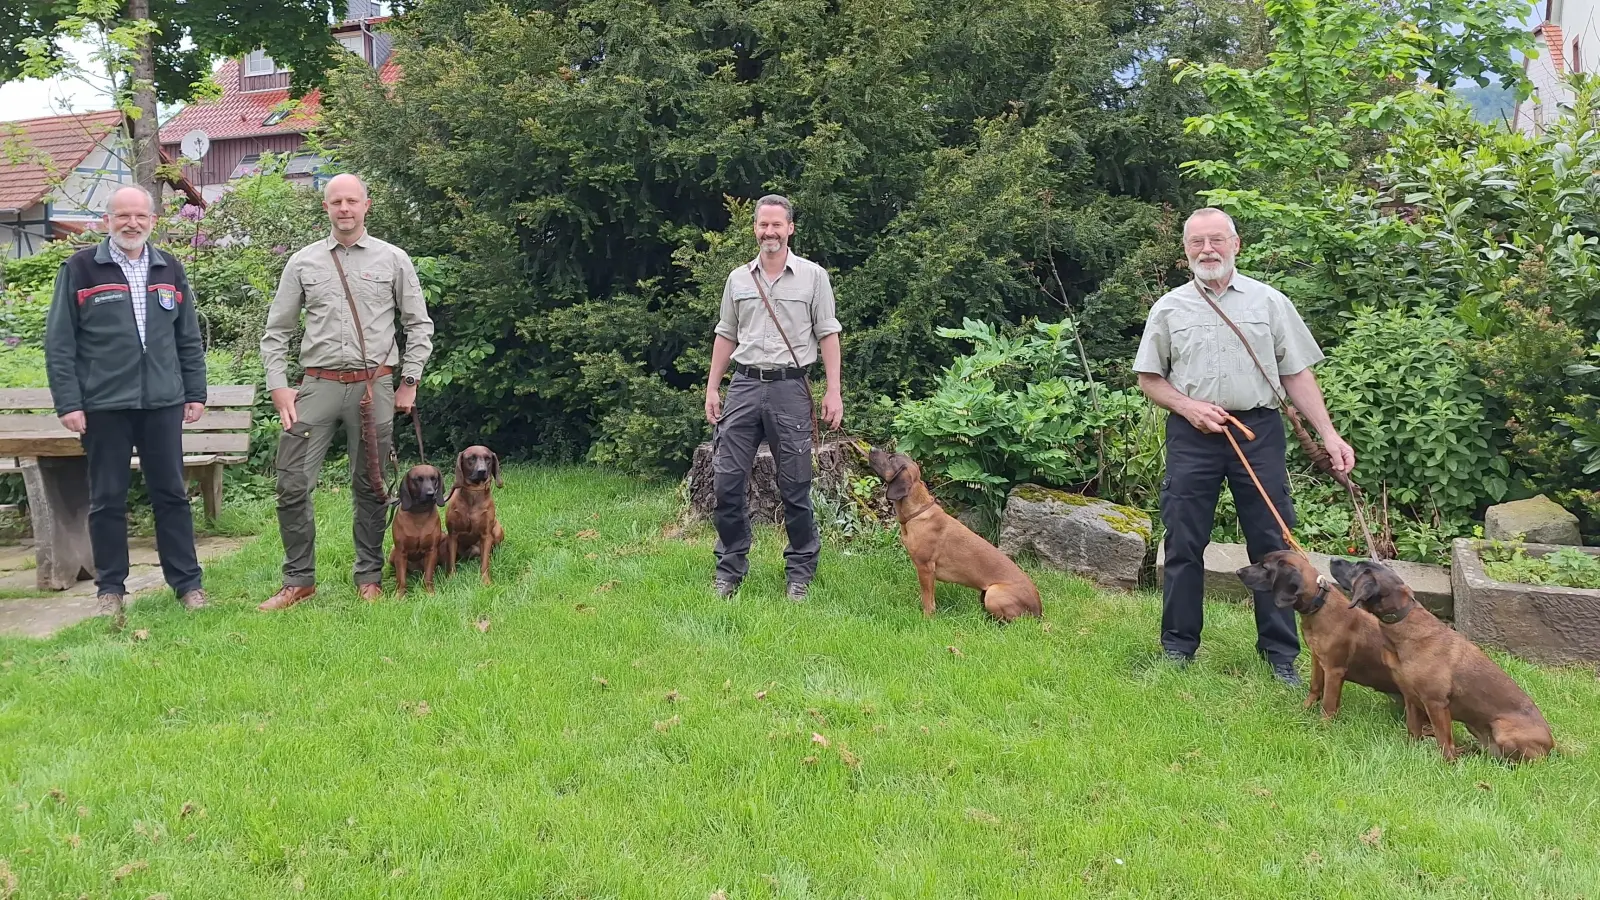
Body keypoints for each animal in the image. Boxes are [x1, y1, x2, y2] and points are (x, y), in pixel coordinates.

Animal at [393, 461, 451, 595]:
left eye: (434, 478)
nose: (431, 494)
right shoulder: (400, 552)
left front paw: (430, 593)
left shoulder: (431, 551)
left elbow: (428, 577)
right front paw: (399, 596)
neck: (419, 514)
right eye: (418, 479)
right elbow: (401, 579)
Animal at [444, 445, 505, 586]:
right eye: (471, 458)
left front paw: (486, 581)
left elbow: (485, 564)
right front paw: (451, 578)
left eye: (488, 458)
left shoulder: (486, 535)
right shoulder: (452, 535)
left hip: (498, 529)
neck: (474, 493)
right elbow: (451, 561)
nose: (482, 471)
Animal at [857, 445, 1043, 621]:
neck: (917, 513)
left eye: (891, 458)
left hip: (993, 593)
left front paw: (927, 617)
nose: (871, 448)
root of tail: (1039, 610)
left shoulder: (925, 568)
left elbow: (928, 599)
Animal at [1235, 547, 1401, 714]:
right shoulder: (1317, 659)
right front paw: (1304, 710)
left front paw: (1323, 720)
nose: (1238, 571)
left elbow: (1328, 703)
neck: (1320, 604)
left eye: (1265, 567)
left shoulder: (1334, 670)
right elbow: (1315, 687)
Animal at [1337, 557, 1548, 759]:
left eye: (1357, 566)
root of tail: (1552, 745)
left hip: (1502, 732)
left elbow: (1444, 742)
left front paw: (1447, 763)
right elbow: (1413, 731)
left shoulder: (1436, 703)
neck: (1403, 622)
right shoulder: (1410, 698)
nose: (1333, 560)